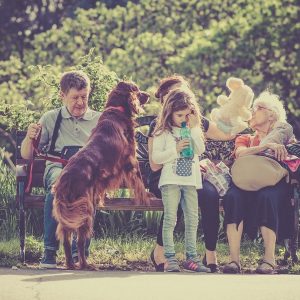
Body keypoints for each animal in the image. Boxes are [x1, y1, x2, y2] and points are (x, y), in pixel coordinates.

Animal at [52, 80, 151, 270]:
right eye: (136, 89)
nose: (149, 94)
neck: (117, 110)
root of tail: (65, 180)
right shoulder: (130, 159)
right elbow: (139, 181)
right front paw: (146, 197)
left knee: (67, 239)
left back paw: (71, 264)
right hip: (85, 211)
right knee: (80, 241)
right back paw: (85, 264)